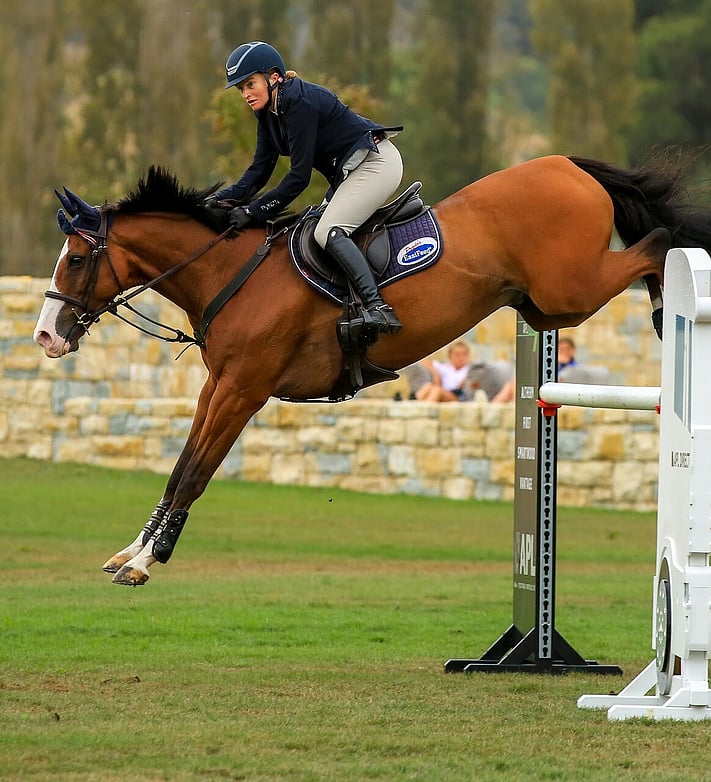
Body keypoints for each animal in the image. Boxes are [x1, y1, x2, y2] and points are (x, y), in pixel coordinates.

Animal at [33, 153, 711, 586]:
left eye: (75, 259)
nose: (45, 335)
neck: (228, 274)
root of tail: (568, 165)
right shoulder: (218, 386)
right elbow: (179, 469)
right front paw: (132, 551)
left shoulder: (243, 391)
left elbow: (196, 473)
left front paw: (148, 562)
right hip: (541, 305)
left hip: (570, 288)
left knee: (655, 244)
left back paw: (664, 309)